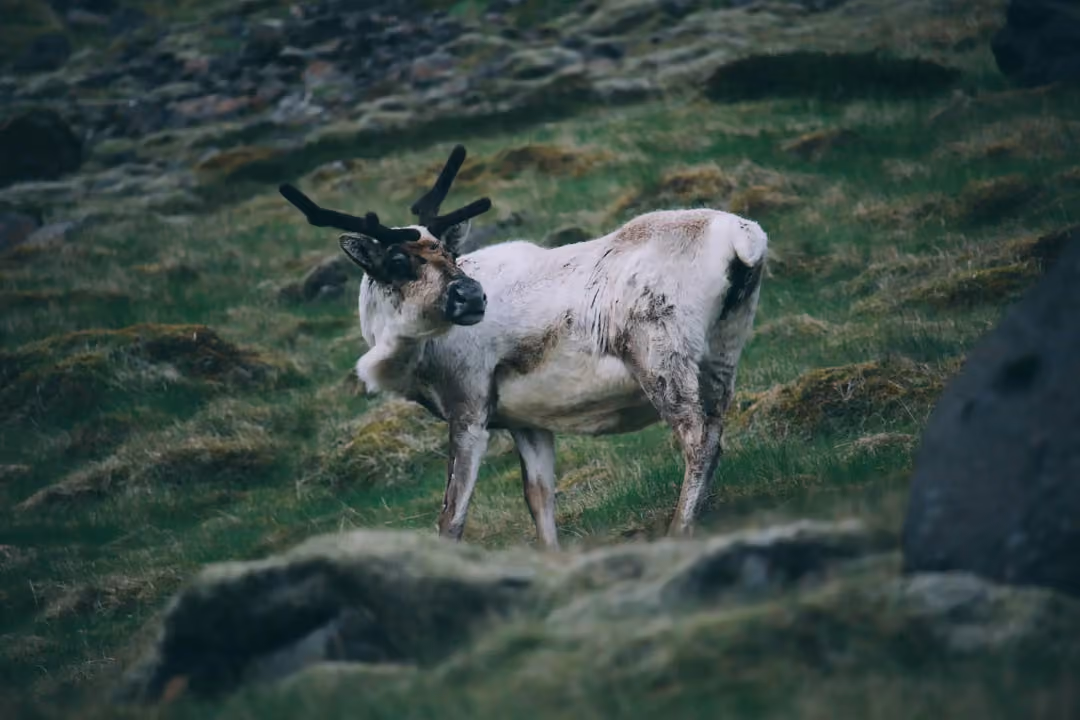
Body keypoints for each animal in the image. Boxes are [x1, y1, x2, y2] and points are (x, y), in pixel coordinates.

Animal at [279, 144, 767, 551]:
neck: (412, 358)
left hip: (659, 354)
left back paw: (679, 530)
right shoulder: (526, 421)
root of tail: (744, 239)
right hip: (722, 354)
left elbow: (451, 517)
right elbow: (539, 499)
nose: (472, 295)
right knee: (716, 431)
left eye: (448, 253)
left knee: (697, 439)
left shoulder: (469, 406)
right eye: (398, 260)